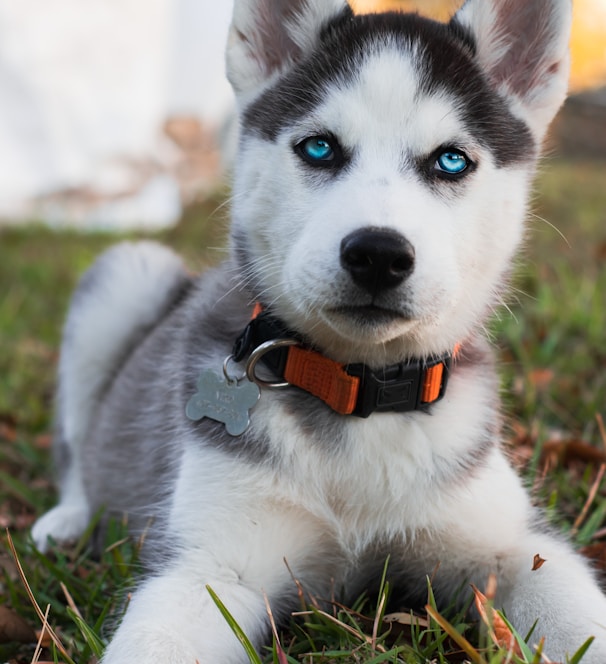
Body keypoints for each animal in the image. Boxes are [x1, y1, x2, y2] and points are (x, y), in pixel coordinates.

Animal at [34, 0, 606, 660]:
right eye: (318, 148)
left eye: (451, 160)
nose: (378, 254)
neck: (357, 390)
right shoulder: (209, 566)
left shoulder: (516, 544)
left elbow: (576, 611)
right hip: (130, 274)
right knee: (77, 446)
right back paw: (67, 520)